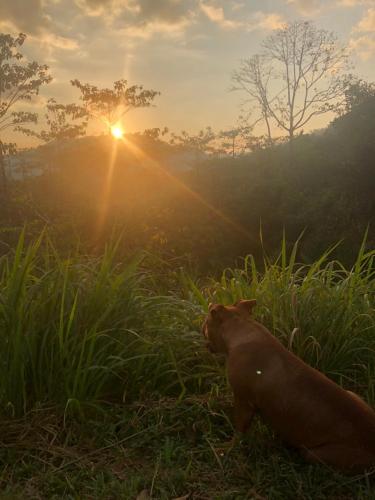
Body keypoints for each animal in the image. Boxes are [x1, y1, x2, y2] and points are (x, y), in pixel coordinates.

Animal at [204, 300, 375, 472]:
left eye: (205, 323)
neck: (242, 330)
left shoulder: (243, 401)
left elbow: (239, 431)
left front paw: (226, 448)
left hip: (314, 454)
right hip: (352, 394)